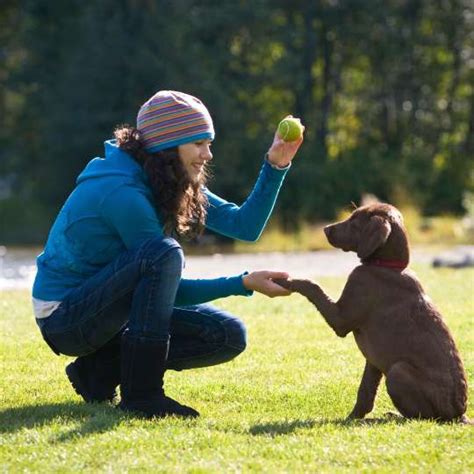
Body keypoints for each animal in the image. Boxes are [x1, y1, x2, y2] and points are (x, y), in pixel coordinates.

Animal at [276, 204, 468, 422]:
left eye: (354, 221)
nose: (325, 229)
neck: (388, 266)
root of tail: (459, 415)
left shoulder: (341, 318)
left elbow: (312, 285)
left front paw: (285, 280)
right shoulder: (373, 360)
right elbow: (365, 391)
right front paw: (354, 417)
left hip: (397, 371)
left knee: (421, 417)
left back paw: (395, 416)